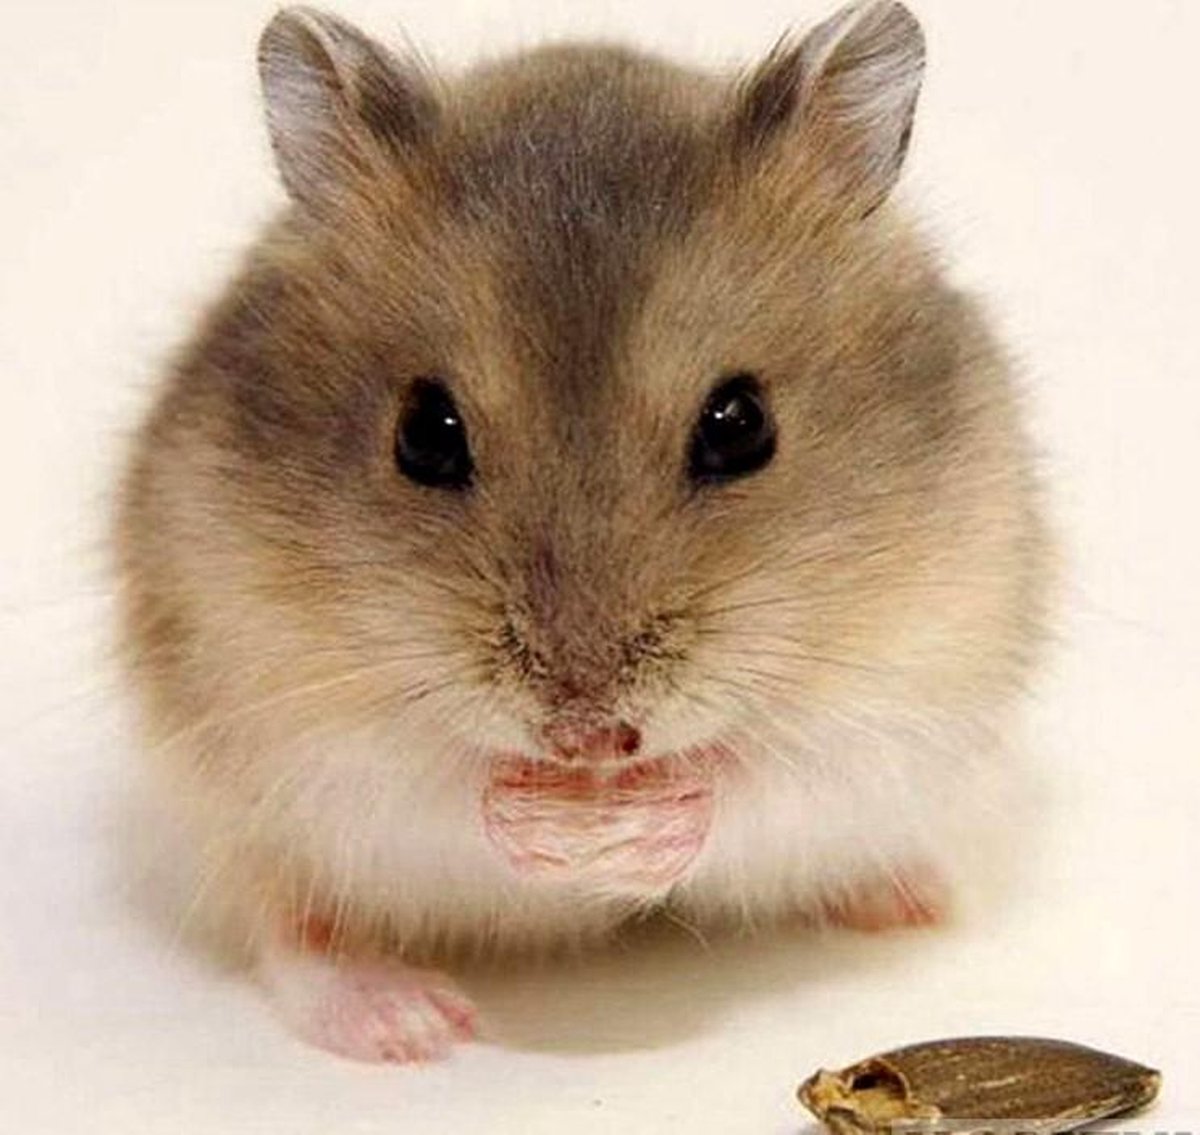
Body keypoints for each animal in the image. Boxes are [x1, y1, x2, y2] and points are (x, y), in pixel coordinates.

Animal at [114, 0, 1050, 1063]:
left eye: (741, 424)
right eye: (424, 434)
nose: (589, 740)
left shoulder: (902, 688)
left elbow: (757, 775)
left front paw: (623, 829)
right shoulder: (289, 715)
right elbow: (442, 783)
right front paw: (560, 830)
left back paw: (914, 900)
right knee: (292, 925)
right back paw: (408, 1024)